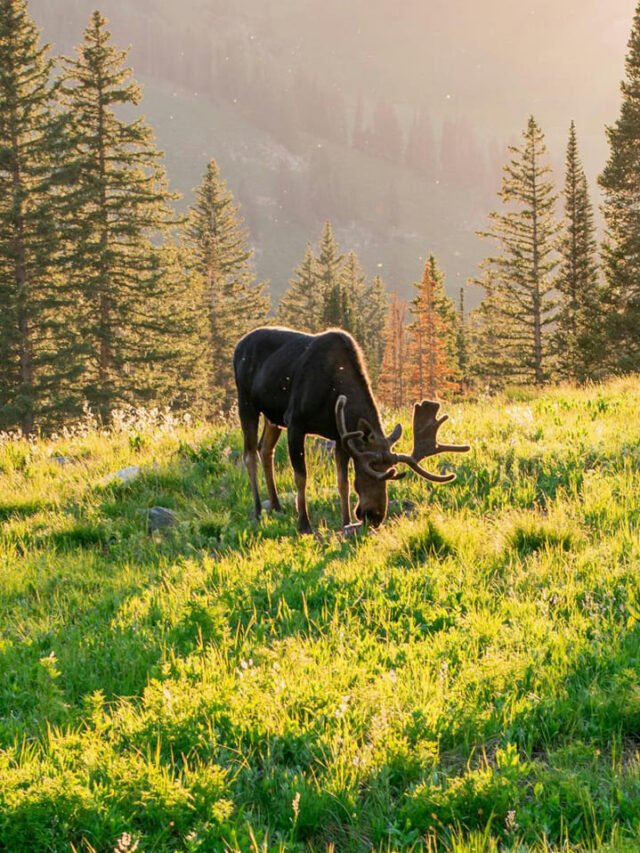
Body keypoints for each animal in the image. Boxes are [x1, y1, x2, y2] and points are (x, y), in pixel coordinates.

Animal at [233, 327, 470, 534]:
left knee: (265, 449)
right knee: (250, 454)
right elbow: (301, 477)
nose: (375, 516)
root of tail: (238, 345)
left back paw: (276, 505)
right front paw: (304, 524)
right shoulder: (295, 422)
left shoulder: (340, 436)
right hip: (246, 403)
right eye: (368, 473)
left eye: (390, 475)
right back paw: (257, 510)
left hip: (272, 417)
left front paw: (345, 522)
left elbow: (343, 482)